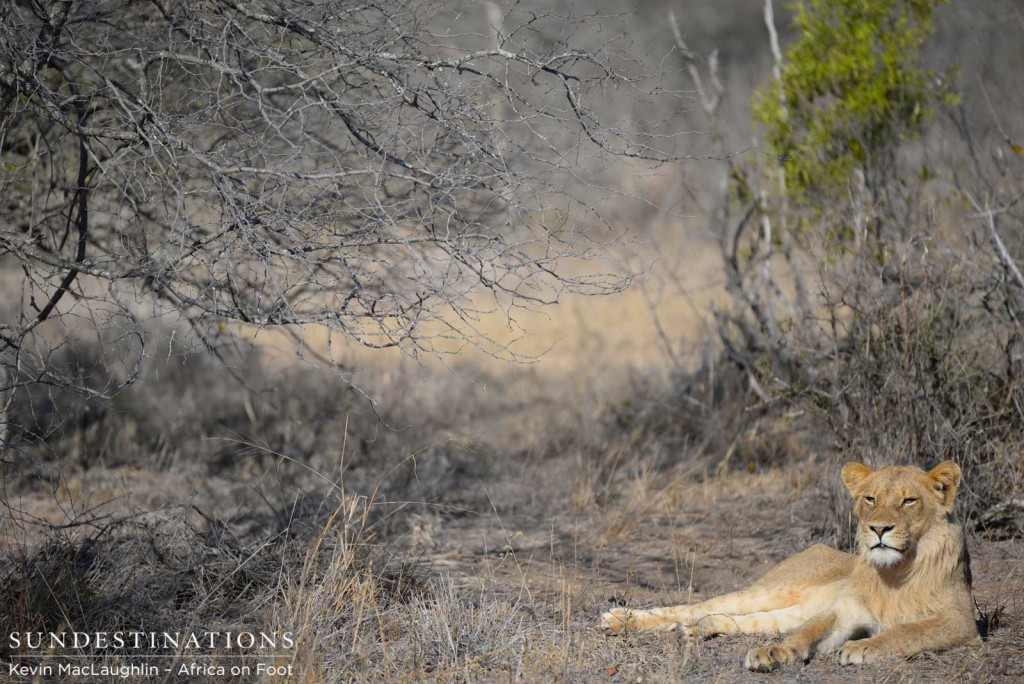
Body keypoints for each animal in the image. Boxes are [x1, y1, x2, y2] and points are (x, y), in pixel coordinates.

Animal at [598, 462, 983, 671]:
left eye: (909, 501)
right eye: (870, 498)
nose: (878, 529)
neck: (896, 571)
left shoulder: (961, 621)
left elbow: (908, 631)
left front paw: (863, 648)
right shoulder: (845, 611)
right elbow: (808, 632)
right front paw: (774, 652)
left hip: (785, 609)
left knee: (740, 619)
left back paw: (697, 629)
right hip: (769, 590)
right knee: (691, 606)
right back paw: (618, 620)